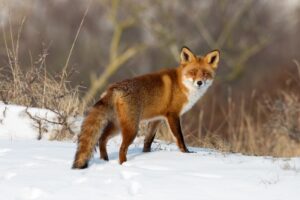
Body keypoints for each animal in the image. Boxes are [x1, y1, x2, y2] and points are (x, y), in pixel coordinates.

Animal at [71, 47, 219, 169]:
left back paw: (105, 160)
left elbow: (148, 141)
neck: (182, 85)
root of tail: (113, 88)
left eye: (205, 73)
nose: (199, 83)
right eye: (193, 72)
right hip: (132, 129)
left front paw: (147, 154)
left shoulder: (157, 119)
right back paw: (124, 165)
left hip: (118, 126)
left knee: (102, 139)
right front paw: (187, 153)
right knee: (121, 148)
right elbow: (179, 138)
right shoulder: (173, 115)